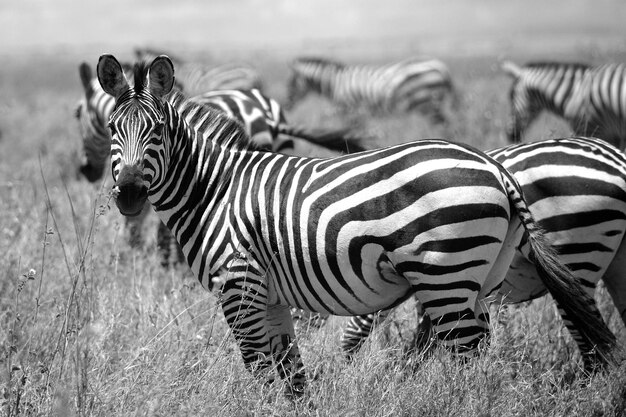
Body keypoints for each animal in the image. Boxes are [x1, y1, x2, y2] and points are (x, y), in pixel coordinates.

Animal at [286, 55, 456, 121]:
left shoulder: (346, 108)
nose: (287, 105)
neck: (335, 82)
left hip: (425, 103)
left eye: (291, 84)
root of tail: (441, 67)